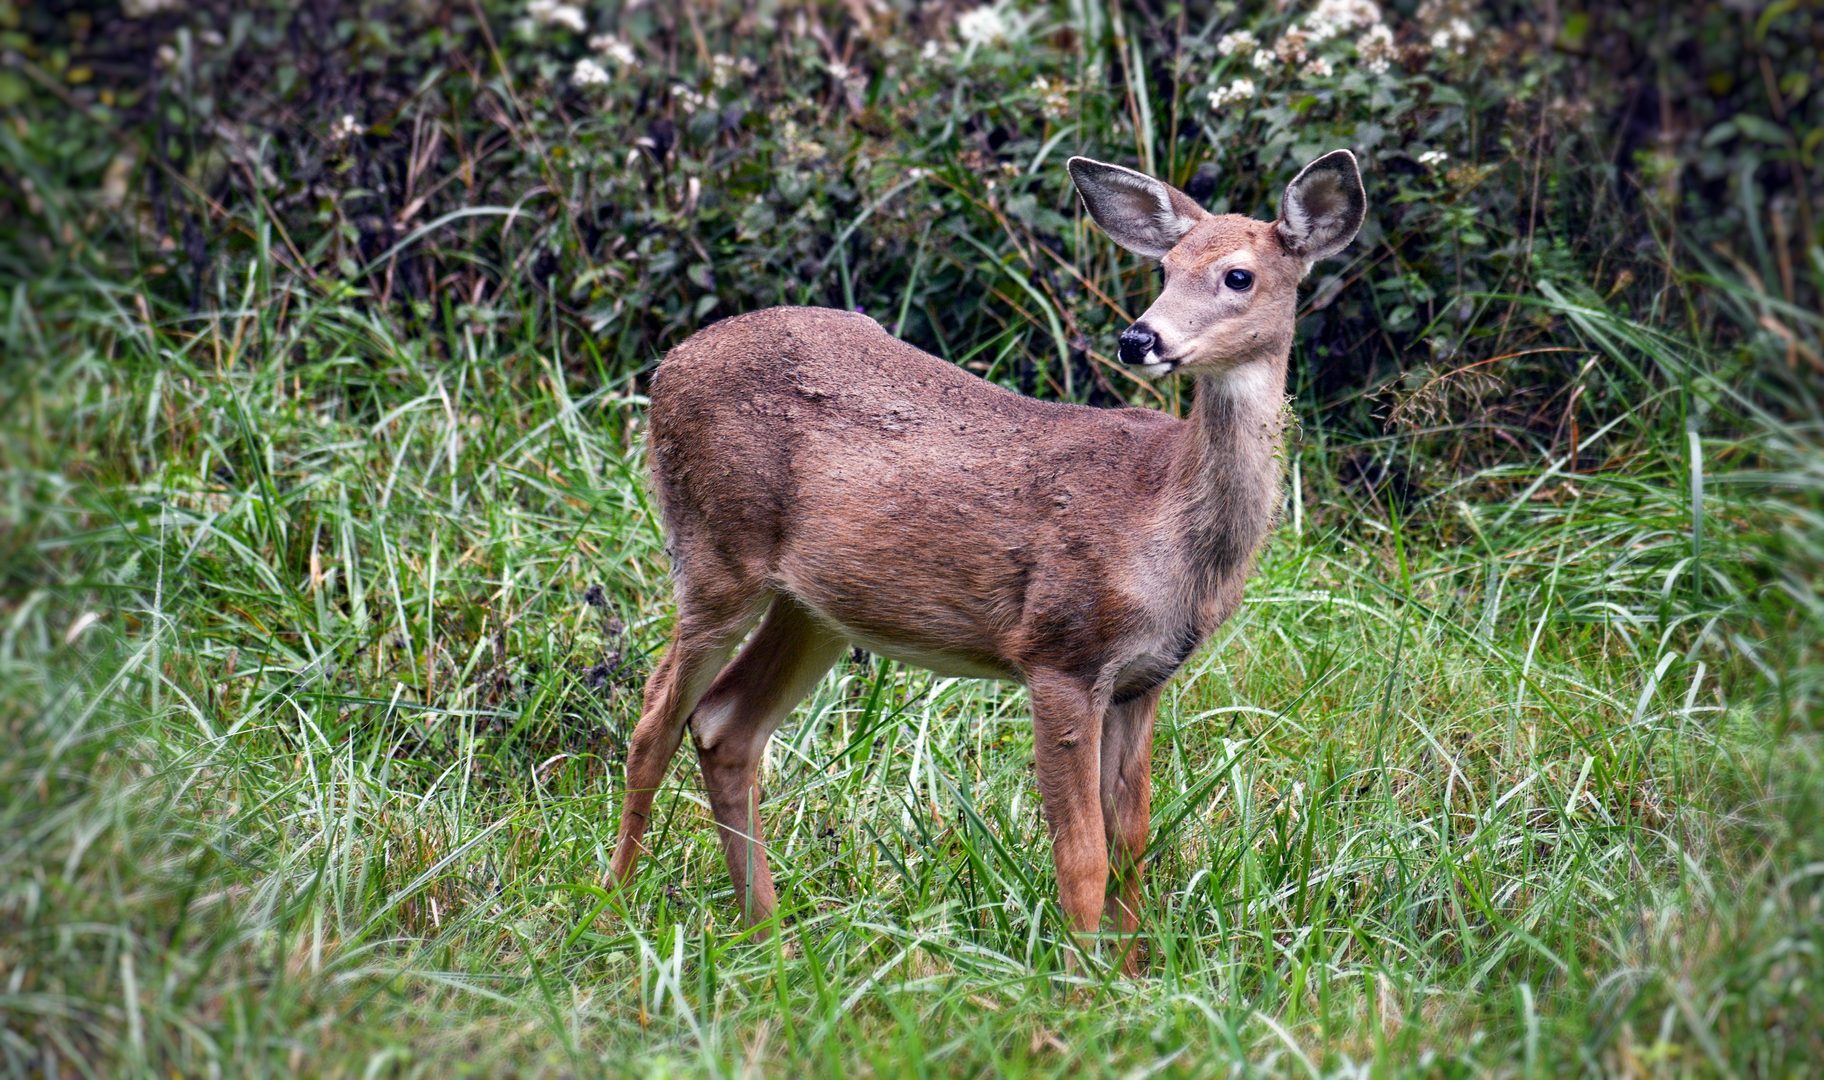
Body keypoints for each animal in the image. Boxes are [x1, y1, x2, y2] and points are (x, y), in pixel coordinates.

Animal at [605, 149, 1366, 972]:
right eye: (1163, 267)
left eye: (1238, 276)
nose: (1139, 339)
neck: (1167, 530)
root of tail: (666, 368)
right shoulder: (1059, 652)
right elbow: (1082, 854)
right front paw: (1081, 981)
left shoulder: (1144, 679)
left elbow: (1132, 841)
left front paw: (1132, 974)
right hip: (715, 551)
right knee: (653, 719)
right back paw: (611, 907)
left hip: (815, 607)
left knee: (724, 725)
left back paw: (770, 936)